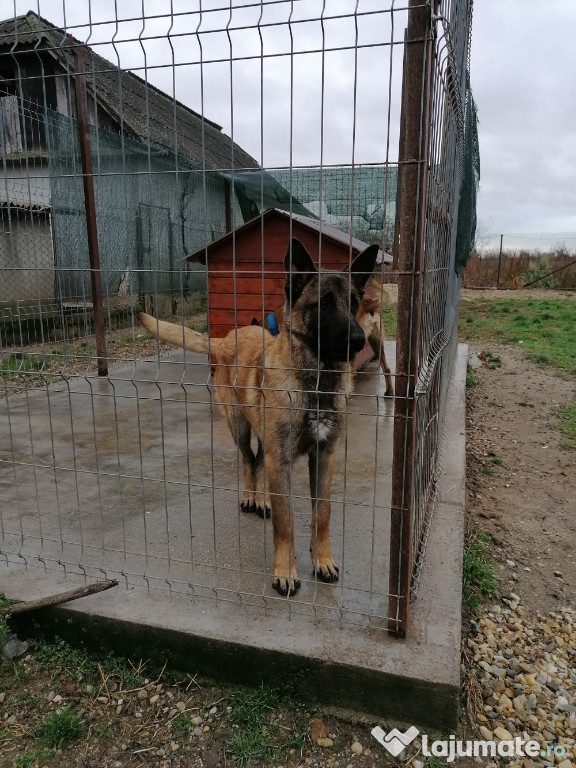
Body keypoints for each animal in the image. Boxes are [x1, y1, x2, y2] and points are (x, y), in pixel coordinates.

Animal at [141, 237, 378, 596]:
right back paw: (253, 497)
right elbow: (286, 520)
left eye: (353, 304)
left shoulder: (324, 456)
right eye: (323, 304)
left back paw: (263, 499)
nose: (359, 341)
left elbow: (322, 511)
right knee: (249, 460)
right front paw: (286, 569)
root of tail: (227, 337)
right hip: (239, 427)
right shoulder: (281, 459)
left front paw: (321, 558)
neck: (315, 384)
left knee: (260, 462)